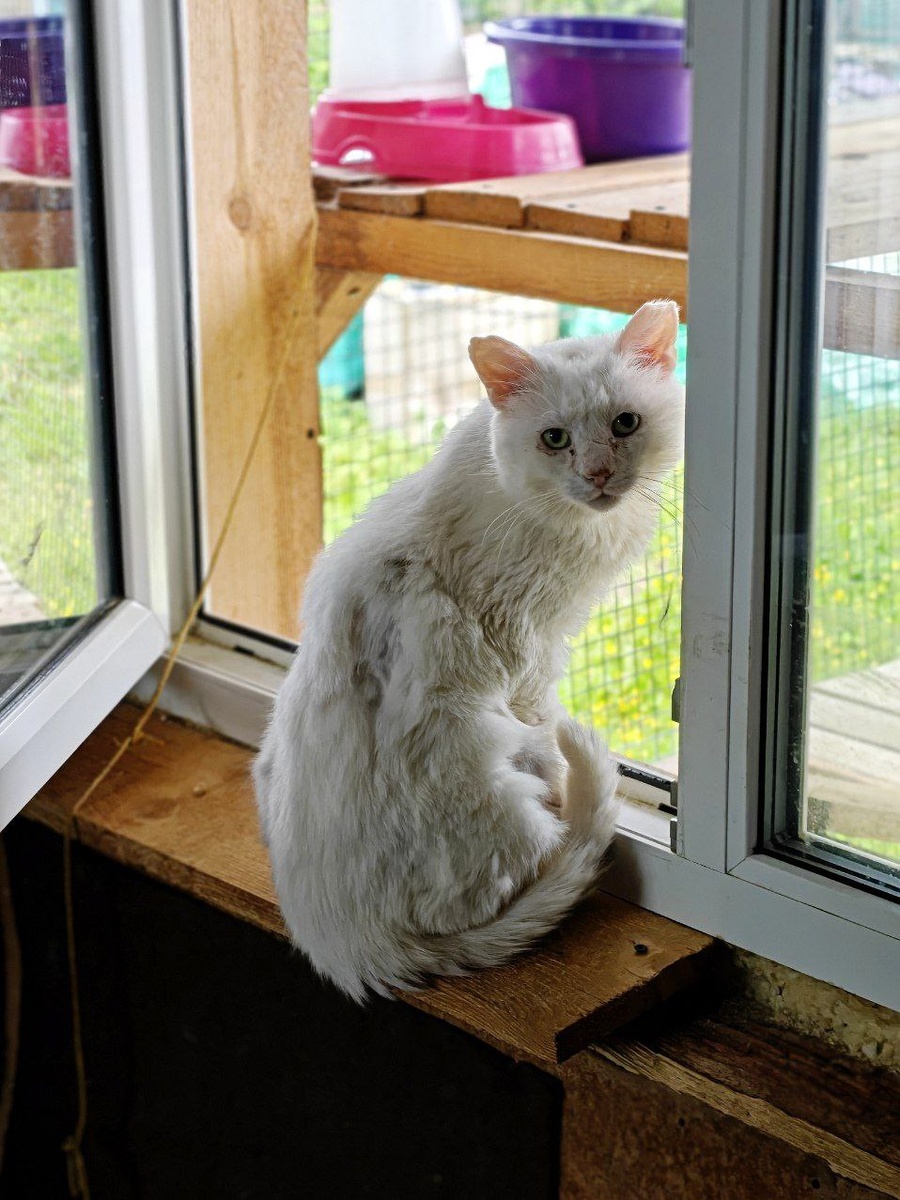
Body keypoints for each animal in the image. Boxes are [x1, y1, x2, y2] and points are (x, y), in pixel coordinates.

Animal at [254, 300, 685, 1001]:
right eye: (554, 439)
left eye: (626, 423)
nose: (596, 473)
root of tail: (346, 947)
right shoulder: (528, 640)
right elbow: (542, 709)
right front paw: (559, 755)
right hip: (499, 795)